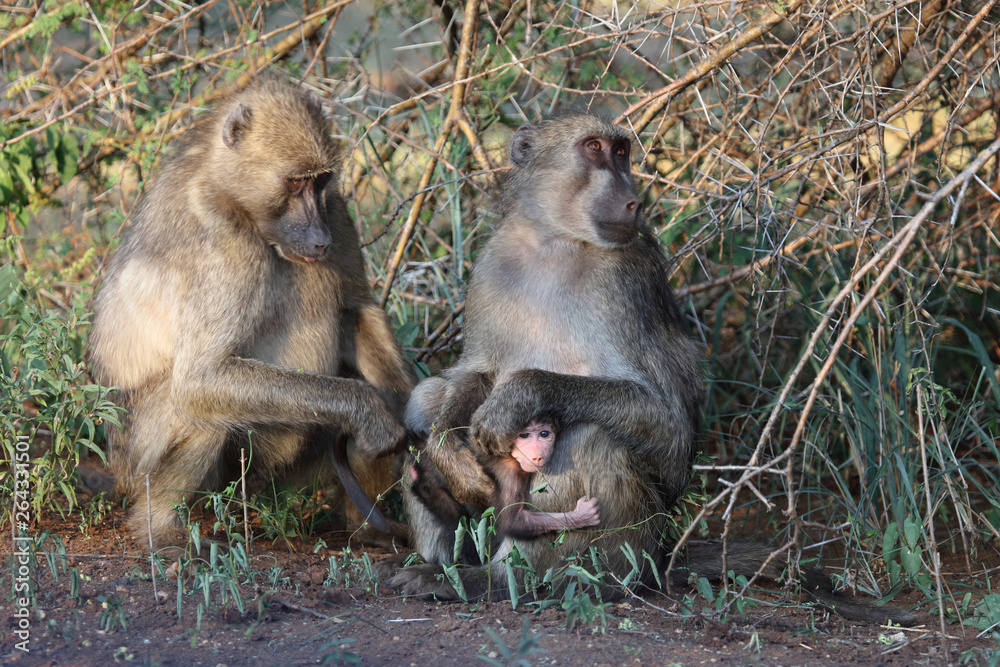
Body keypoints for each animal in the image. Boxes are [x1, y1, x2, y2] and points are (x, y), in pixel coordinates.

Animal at [88, 78, 413, 549]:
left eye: (320, 181)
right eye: (293, 184)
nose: (320, 240)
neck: (227, 191)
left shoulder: (335, 209)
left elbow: (356, 309)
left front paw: (411, 409)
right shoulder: (225, 245)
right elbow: (201, 377)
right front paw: (370, 412)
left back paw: (367, 528)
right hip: (146, 460)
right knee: (196, 411)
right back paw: (160, 530)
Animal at [384, 113, 916, 627]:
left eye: (622, 151)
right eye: (594, 148)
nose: (634, 201)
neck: (557, 242)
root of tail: (660, 558)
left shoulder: (625, 281)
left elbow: (668, 422)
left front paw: (518, 394)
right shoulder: (492, 267)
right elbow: (474, 374)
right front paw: (448, 452)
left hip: (635, 546)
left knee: (587, 439)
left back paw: (501, 582)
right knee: (426, 398)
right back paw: (445, 561)